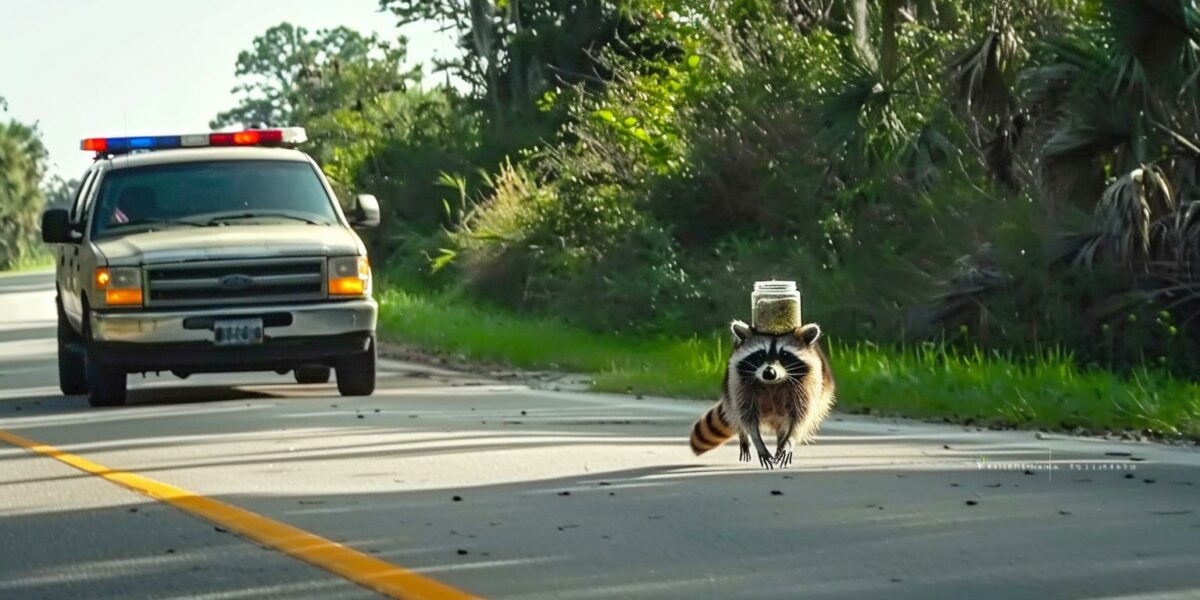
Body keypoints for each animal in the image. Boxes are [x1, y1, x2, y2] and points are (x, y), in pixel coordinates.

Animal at [691, 319, 840, 468]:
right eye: (760, 354)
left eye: (785, 355)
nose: (769, 373)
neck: (773, 383)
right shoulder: (738, 381)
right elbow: (746, 415)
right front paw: (757, 441)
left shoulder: (809, 384)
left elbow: (801, 417)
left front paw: (789, 442)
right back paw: (744, 437)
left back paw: (781, 443)